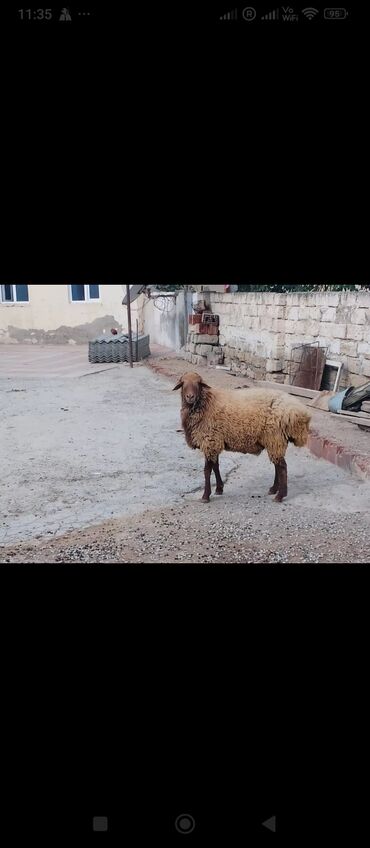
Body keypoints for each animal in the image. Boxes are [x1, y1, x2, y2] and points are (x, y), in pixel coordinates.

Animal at [173, 372, 312, 504]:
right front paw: (219, 489)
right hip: (275, 441)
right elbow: (216, 466)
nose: (190, 397)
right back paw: (274, 489)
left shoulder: (209, 441)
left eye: (199, 383)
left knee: (282, 467)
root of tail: (298, 412)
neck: (205, 403)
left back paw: (280, 495)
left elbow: (207, 471)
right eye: (183, 383)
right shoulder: (215, 441)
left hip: (275, 438)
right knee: (277, 465)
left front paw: (205, 496)